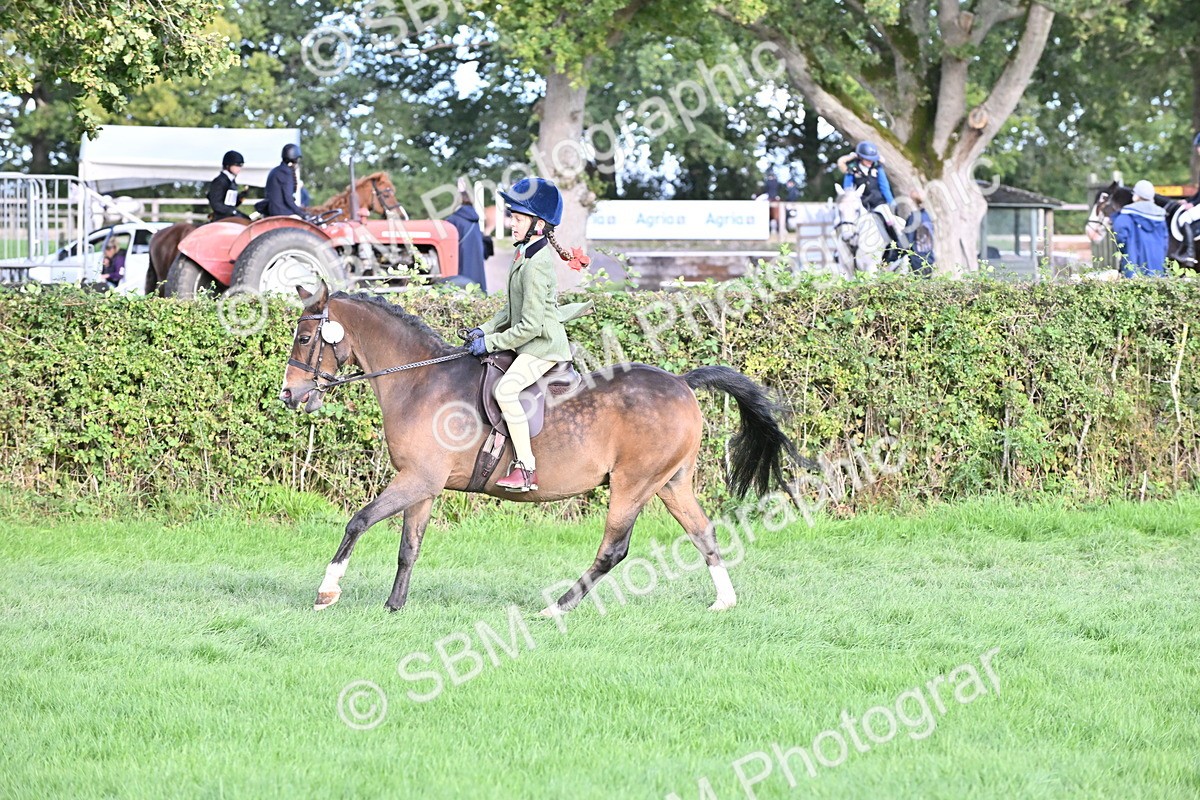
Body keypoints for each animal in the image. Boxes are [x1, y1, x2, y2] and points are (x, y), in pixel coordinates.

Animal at [278, 284, 802, 616]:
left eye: (304, 338)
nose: (288, 395)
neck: (419, 380)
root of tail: (681, 381)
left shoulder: (417, 479)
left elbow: (359, 521)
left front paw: (327, 592)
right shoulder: (423, 484)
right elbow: (409, 547)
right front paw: (394, 606)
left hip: (633, 484)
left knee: (614, 549)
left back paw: (558, 608)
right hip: (670, 482)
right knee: (703, 532)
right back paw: (724, 601)